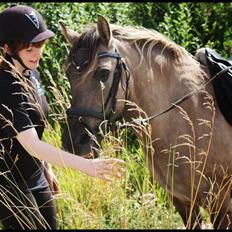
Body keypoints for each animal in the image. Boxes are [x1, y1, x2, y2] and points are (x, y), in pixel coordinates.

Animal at [59, 15, 232, 229]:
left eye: (103, 73)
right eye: (69, 75)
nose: (74, 142)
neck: (192, 115)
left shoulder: (220, 204)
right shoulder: (183, 202)